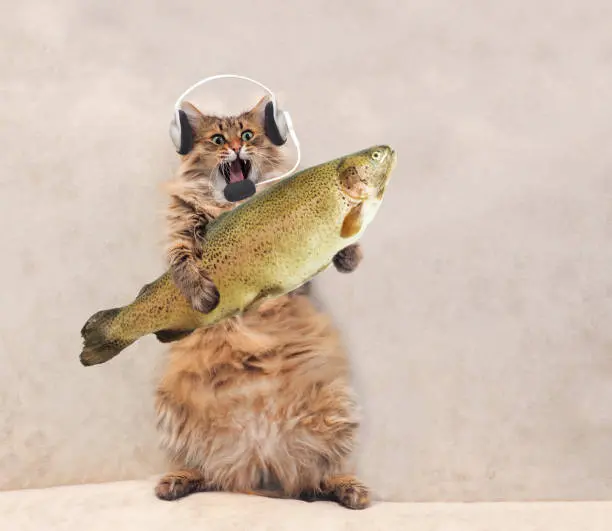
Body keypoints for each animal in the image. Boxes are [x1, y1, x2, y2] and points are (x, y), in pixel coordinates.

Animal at [155, 93, 370, 510]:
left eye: (249, 136)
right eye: (218, 139)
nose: (238, 147)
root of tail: (257, 458)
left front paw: (348, 252)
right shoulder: (180, 233)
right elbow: (183, 262)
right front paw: (202, 292)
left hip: (333, 410)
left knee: (318, 478)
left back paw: (350, 489)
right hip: (173, 412)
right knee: (202, 470)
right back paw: (174, 481)